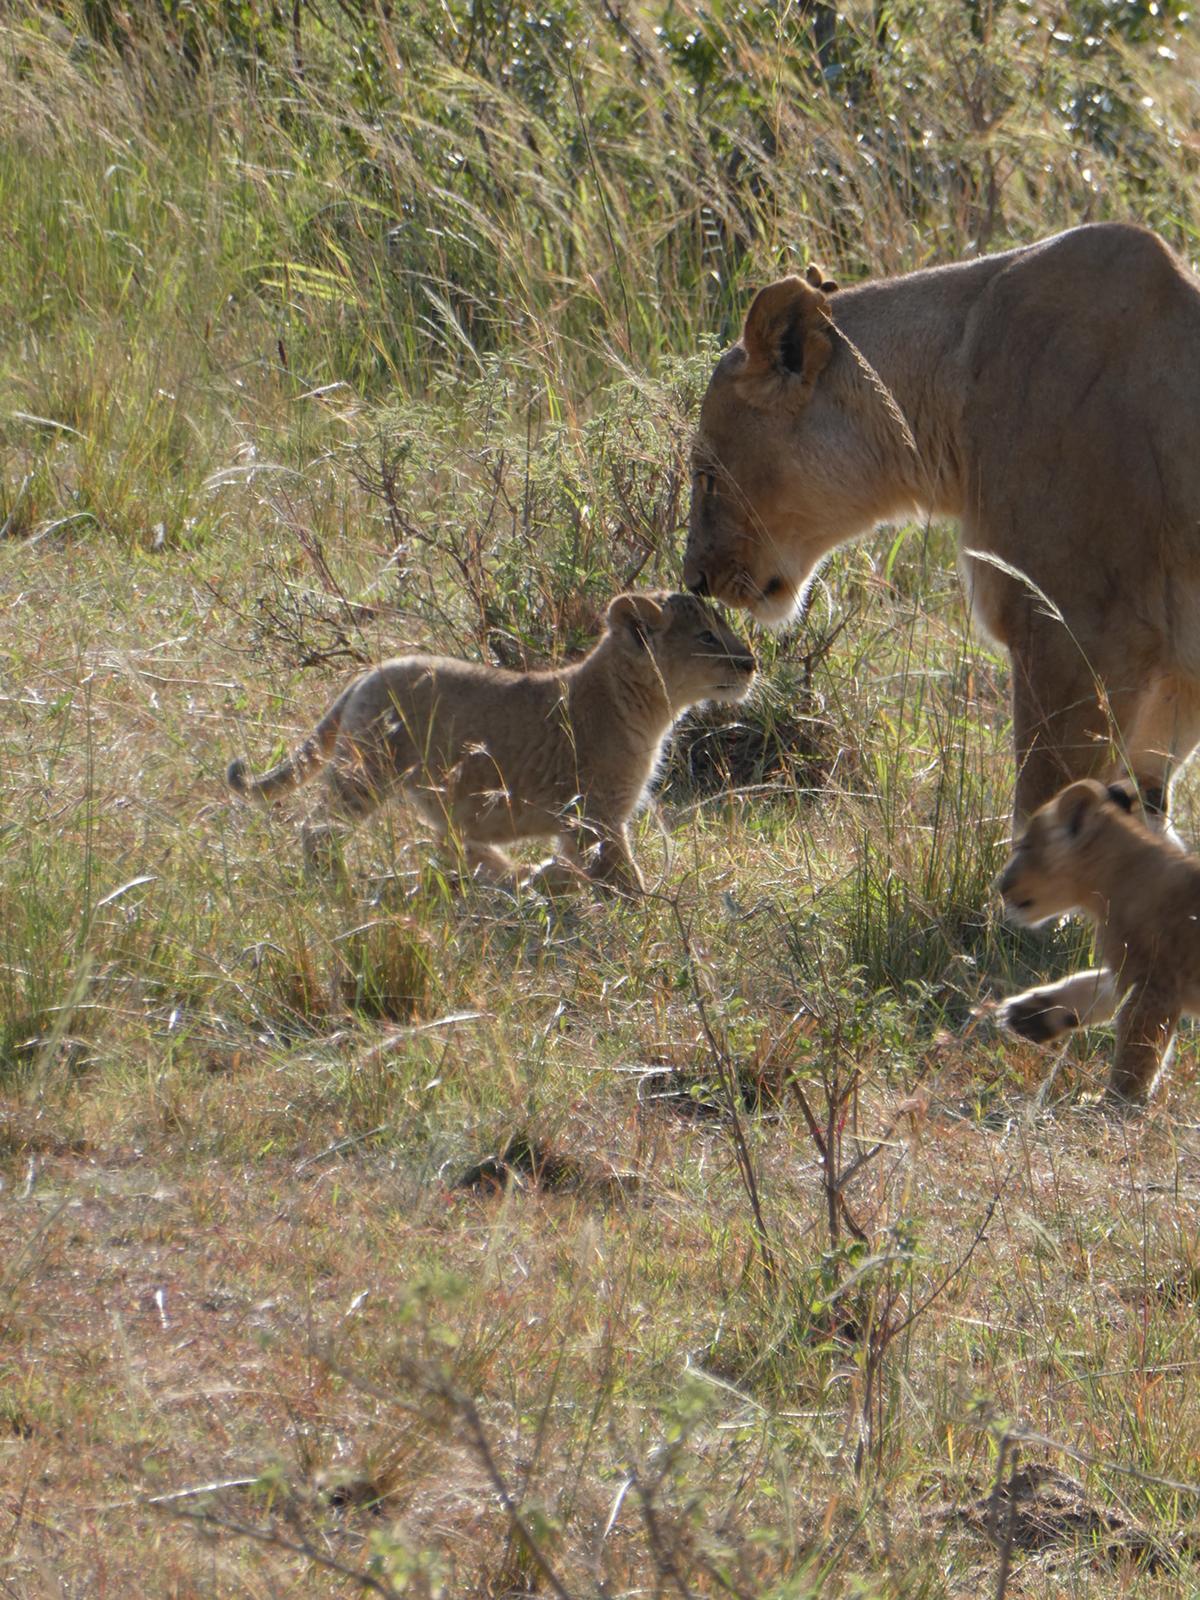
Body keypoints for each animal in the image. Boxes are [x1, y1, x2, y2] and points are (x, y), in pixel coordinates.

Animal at [227, 591, 756, 893]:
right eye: (708, 636)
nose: (752, 663)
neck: (647, 706)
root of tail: (366, 675)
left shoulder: (582, 821)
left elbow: (578, 867)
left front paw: (551, 878)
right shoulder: (596, 815)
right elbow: (626, 880)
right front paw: (650, 915)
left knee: (452, 841)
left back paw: (514, 874)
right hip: (366, 772)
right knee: (319, 829)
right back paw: (333, 882)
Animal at [995, 777, 1200, 1103]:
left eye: (1024, 846)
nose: (1001, 885)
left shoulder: (1156, 986)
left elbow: (1137, 1053)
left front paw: (1114, 1102)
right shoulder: (1130, 971)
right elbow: (1087, 987)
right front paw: (1030, 1013)